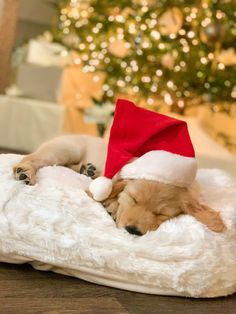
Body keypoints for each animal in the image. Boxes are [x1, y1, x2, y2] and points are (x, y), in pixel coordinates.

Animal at [12, 135, 225, 236]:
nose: (132, 231)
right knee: (34, 158)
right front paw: (112, 205)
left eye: (161, 214)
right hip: (65, 149)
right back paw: (24, 171)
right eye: (134, 199)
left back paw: (87, 170)